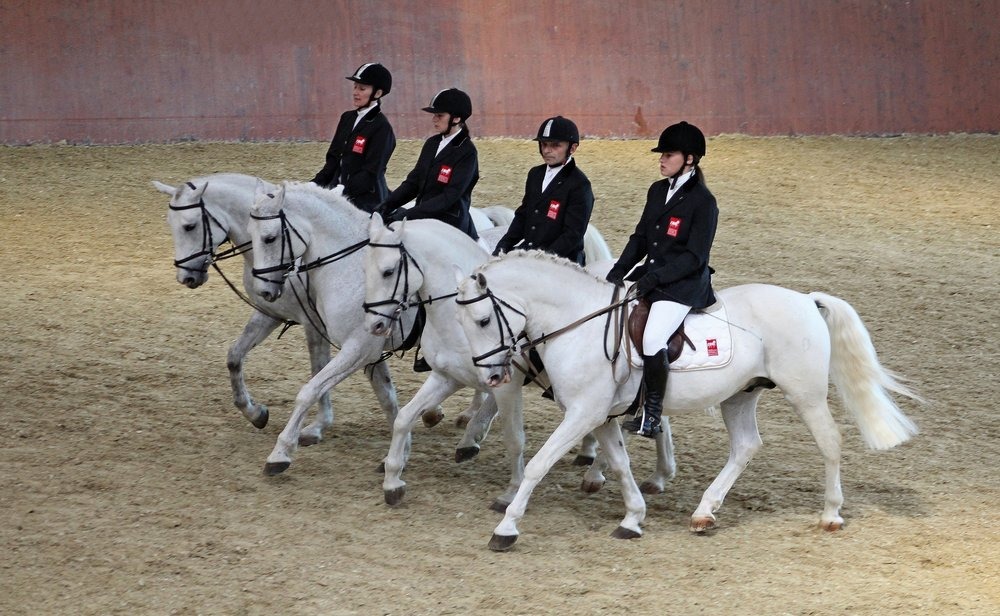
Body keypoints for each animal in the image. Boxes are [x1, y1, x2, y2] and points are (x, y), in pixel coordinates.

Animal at [363, 216, 677, 510]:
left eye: (388, 271)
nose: (375, 324)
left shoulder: (505, 384)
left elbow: (514, 437)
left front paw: (511, 491)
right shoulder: (447, 376)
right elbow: (404, 417)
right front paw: (393, 481)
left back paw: (600, 473)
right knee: (655, 415)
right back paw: (656, 474)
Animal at [453, 251, 921, 551]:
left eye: (483, 320)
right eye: (465, 322)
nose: (492, 375)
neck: (579, 324)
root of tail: (805, 299)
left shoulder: (583, 413)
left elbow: (538, 464)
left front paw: (506, 528)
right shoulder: (600, 416)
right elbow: (620, 464)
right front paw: (632, 518)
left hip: (804, 394)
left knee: (829, 442)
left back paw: (830, 515)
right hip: (739, 396)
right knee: (746, 446)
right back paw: (703, 513)